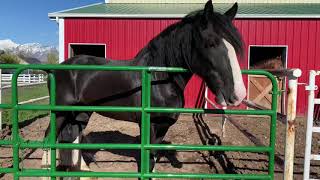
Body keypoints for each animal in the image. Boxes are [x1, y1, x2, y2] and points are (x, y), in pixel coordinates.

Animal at [43, 0, 248, 176]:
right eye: (211, 43)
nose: (238, 94)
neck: (159, 79)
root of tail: (58, 68)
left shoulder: (163, 127)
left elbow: (153, 159)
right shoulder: (149, 125)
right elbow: (147, 162)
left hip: (81, 113)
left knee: (72, 137)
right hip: (60, 112)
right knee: (49, 137)